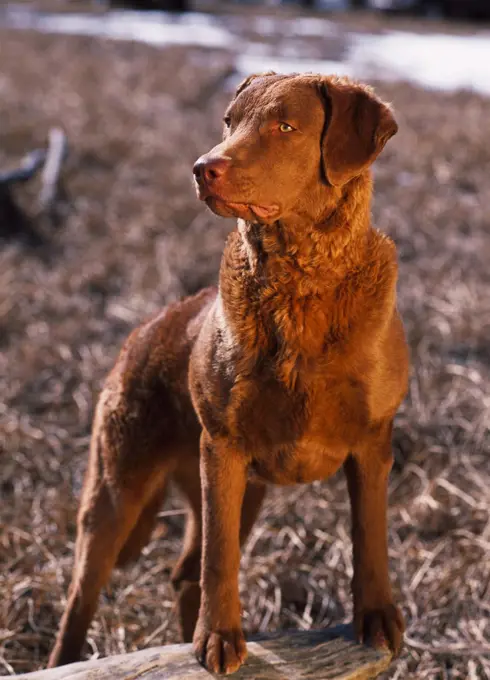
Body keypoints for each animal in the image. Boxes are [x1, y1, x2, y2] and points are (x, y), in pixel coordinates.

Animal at [49, 75, 410, 676]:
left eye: (284, 126)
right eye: (229, 121)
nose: (203, 167)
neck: (301, 288)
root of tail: (143, 328)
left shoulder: (373, 442)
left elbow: (371, 534)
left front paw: (377, 618)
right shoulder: (222, 448)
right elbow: (220, 558)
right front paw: (219, 638)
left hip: (242, 489)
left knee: (181, 572)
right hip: (118, 483)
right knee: (85, 593)